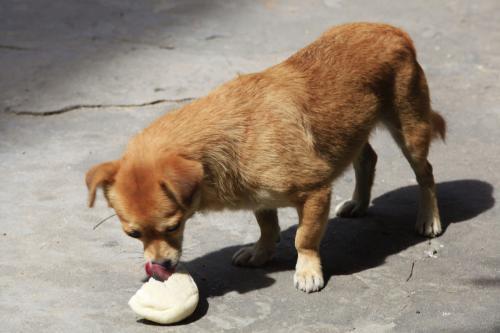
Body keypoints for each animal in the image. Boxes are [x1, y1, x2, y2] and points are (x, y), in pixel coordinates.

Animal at [86, 23, 446, 292]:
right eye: (133, 235)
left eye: (173, 226)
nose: (159, 266)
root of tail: (393, 30)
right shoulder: (259, 197)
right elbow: (267, 225)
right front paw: (261, 252)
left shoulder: (316, 192)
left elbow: (305, 237)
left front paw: (307, 270)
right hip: (355, 130)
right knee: (367, 158)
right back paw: (359, 202)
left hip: (410, 129)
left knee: (425, 172)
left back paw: (429, 218)